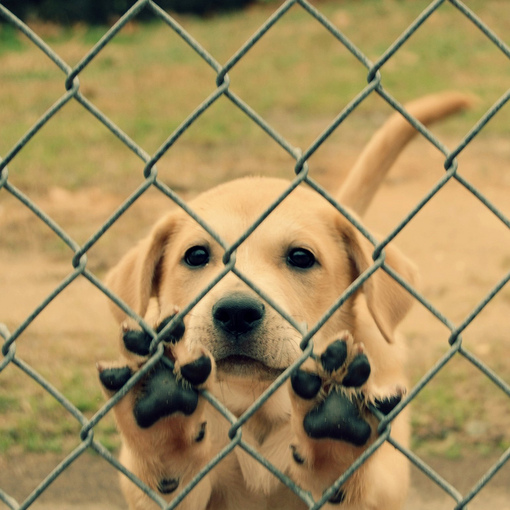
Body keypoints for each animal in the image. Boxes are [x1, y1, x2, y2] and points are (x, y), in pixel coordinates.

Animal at [97, 92, 472, 510]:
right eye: (195, 255)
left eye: (301, 257)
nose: (236, 312)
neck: (259, 406)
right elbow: (169, 477)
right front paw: (165, 427)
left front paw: (333, 439)